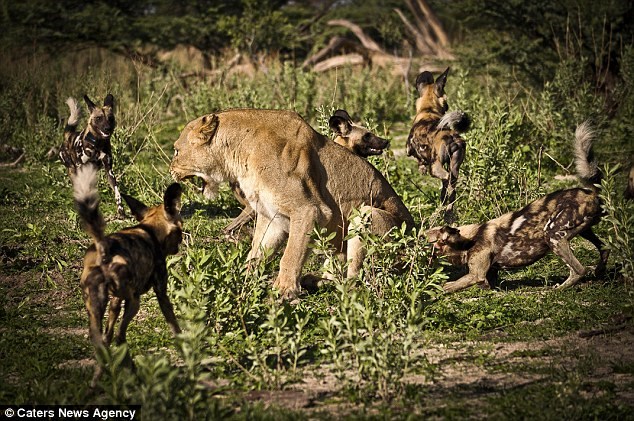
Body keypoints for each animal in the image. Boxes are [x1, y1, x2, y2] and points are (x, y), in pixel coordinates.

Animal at [74, 163, 184, 384]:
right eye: (179, 230)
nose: (180, 243)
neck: (149, 229)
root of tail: (103, 249)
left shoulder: (116, 301)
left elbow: (107, 338)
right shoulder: (161, 293)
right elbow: (175, 326)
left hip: (97, 308)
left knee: (103, 342)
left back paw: (99, 381)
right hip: (134, 302)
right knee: (120, 336)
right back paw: (133, 374)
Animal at [404, 67, 464, 221]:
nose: (447, 107)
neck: (428, 109)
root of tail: (451, 137)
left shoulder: (410, 150)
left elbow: (418, 158)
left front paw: (421, 168)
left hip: (435, 168)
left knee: (447, 181)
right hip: (454, 167)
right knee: (451, 187)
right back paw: (447, 212)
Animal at [424, 120, 608, 292]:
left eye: (427, 241)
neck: (468, 239)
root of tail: (591, 192)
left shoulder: (476, 275)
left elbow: (448, 285)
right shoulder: (488, 277)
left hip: (553, 235)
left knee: (579, 270)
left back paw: (559, 288)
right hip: (584, 231)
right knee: (604, 249)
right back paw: (599, 272)